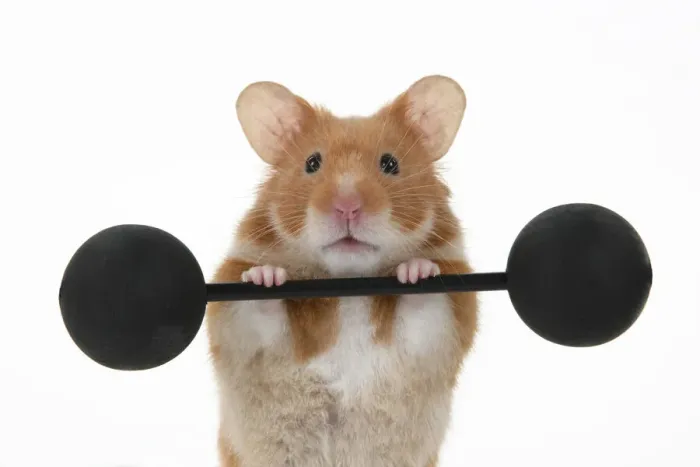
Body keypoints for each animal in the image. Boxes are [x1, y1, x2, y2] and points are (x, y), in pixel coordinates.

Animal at [205, 75, 478, 467]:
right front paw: (266, 276)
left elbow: (422, 310)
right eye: (312, 162)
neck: (348, 289)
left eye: (390, 163)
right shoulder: (243, 339)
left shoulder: (442, 330)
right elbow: (259, 313)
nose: (347, 207)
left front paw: (417, 271)